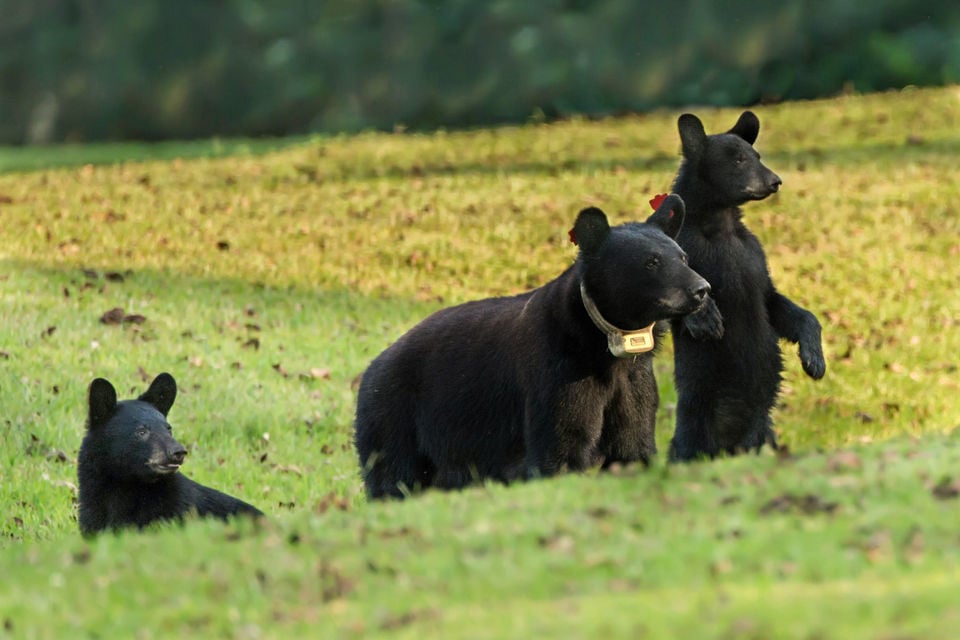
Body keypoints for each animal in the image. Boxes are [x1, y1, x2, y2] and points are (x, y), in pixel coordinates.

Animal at [356, 195, 708, 500]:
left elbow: (632, 439)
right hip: (397, 418)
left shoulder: (633, 379)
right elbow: (562, 442)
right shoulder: (558, 369)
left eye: (683, 257)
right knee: (393, 476)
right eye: (651, 262)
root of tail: (370, 370)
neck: (604, 343)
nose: (701, 289)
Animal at [668, 110, 824, 460]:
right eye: (738, 159)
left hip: (764, 430)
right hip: (697, 418)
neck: (720, 224)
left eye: (757, 156)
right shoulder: (682, 246)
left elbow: (777, 303)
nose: (775, 180)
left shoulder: (754, 260)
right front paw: (706, 317)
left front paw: (814, 359)